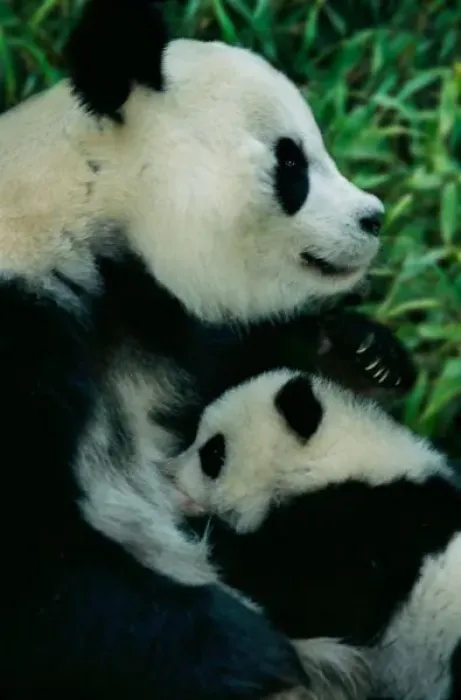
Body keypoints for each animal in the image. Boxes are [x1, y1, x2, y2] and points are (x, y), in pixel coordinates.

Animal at [1, 0, 414, 696]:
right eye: (291, 162)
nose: (374, 217)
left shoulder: (157, 325)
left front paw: (364, 358)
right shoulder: (20, 328)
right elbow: (36, 575)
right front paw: (263, 654)